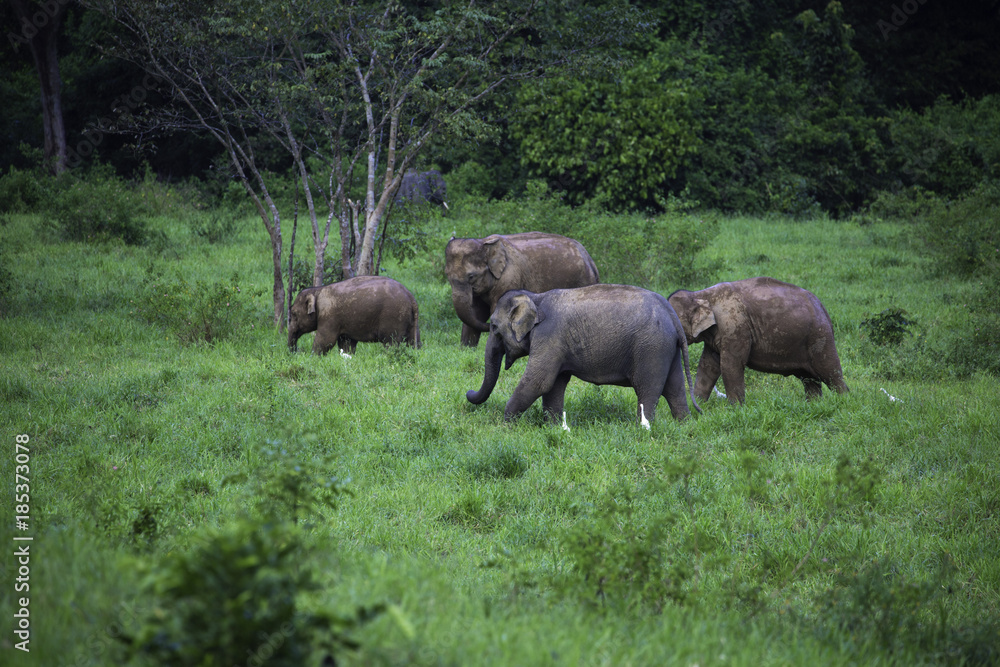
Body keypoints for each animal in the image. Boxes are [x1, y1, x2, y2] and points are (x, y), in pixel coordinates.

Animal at [288, 276, 420, 355]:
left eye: (293, 313)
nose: (295, 353)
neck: (317, 290)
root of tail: (411, 297)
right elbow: (346, 343)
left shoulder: (329, 316)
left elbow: (326, 340)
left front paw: (313, 358)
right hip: (410, 321)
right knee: (414, 342)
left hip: (394, 318)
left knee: (391, 343)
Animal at [445, 232, 600, 347]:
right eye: (447, 275)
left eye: (471, 276)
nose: (490, 326)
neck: (484, 242)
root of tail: (589, 259)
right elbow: (476, 312)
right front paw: (467, 348)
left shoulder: (509, 279)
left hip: (583, 282)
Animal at [466, 284, 700, 426]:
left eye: (494, 327)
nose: (468, 392)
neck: (535, 297)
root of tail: (671, 312)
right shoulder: (557, 345)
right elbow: (554, 384)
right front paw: (553, 427)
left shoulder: (549, 336)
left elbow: (538, 381)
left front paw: (506, 425)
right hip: (667, 348)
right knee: (675, 389)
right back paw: (684, 425)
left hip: (651, 347)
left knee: (648, 390)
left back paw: (642, 428)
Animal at [667, 276, 848, 404]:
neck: (699, 294)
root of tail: (823, 308)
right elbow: (707, 365)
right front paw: (698, 407)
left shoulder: (735, 327)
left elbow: (730, 365)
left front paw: (736, 409)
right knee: (810, 380)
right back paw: (813, 406)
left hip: (819, 336)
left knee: (830, 372)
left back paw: (844, 402)